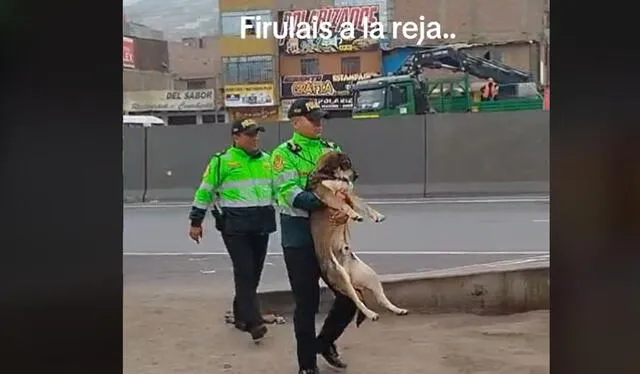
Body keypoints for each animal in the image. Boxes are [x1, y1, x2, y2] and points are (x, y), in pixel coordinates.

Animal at [186, 117, 274, 342]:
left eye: (256, 132)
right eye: (249, 132)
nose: (257, 137)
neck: (248, 156)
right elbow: (206, 189)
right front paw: (255, 324)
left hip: (259, 244)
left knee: (255, 270)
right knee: (246, 272)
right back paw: (246, 323)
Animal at [308, 150, 408, 326]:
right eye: (346, 163)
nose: (357, 175)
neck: (332, 176)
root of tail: (348, 271)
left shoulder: (349, 193)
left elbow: (364, 205)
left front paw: (376, 215)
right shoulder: (328, 195)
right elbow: (344, 206)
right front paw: (354, 215)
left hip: (370, 276)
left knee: (381, 299)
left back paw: (397, 309)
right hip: (342, 278)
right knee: (357, 301)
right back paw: (370, 314)